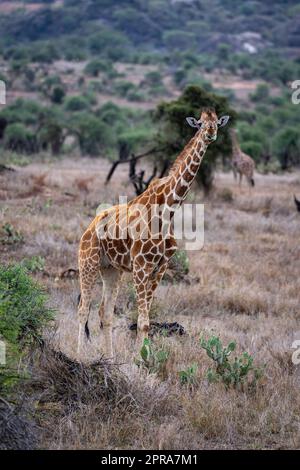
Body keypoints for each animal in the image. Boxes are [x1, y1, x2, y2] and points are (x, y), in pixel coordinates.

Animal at [77, 108, 230, 356]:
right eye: (199, 123)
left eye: (217, 123)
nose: (210, 134)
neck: (168, 211)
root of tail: (89, 227)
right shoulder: (141, 266)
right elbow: (142, 321)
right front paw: (139, 359)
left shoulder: (160, 267)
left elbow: (145, 320)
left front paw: (141, 358)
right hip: (87, 262)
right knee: (83, 309)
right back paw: (79, 354)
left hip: (111, 270)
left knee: (105, 312)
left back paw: (109, 357)